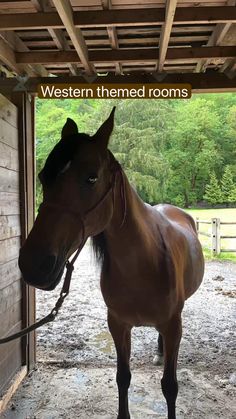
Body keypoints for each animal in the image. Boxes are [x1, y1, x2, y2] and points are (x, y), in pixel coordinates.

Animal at [18, 108, 204, 419]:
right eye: (43, 176)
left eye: (91, 178)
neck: (142, 266)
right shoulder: (118, 324)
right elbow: (123, 377)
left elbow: (170, 386)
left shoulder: (173, 325)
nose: (33, 264)